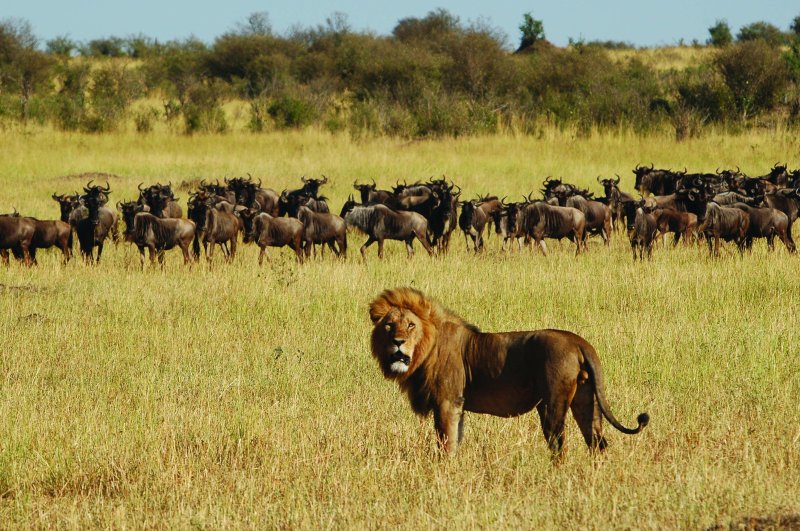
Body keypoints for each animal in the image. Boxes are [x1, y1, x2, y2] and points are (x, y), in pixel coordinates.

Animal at [368, 288, 648, 460]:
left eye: (411, 325)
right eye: (389, 325)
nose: (398, 342)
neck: (426, 348)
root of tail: (579, 342)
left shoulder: (447, 401)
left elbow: (445, 442)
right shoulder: (457, 404)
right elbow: (456, 439)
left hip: (552, 403)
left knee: (559, 446)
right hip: (585, 399)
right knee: (597, 443)